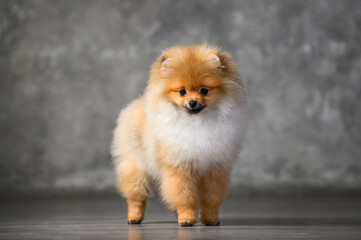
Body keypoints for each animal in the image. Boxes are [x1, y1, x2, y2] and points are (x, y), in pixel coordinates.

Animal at [112, 43, 248, 227]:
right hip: (137, 167)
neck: (196, 122)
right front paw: (187, 219)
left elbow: (211, 198)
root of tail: (134, 105)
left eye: (204, 90)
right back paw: (134, 217)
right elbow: (185, 197)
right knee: (136, 197)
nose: (192, 102)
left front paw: (211, 219)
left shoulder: (214, 168)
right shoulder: (180, 168)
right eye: (182, 92)